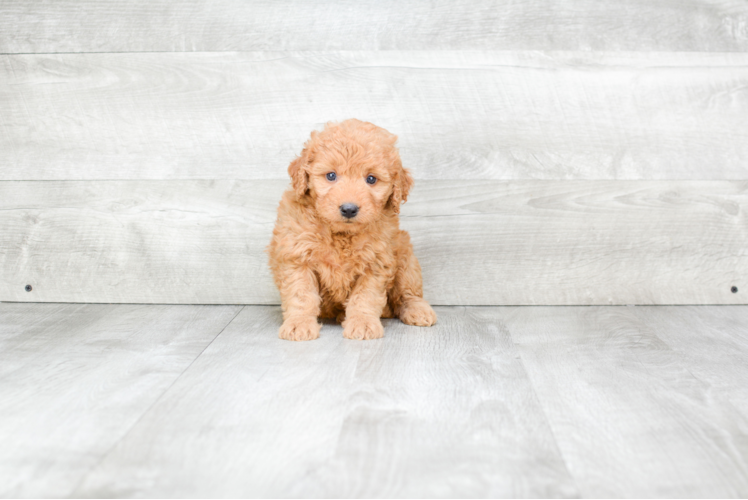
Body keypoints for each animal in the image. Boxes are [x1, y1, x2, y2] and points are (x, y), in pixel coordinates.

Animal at [268, 119, 436, 342]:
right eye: (331, 176)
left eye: (371, 179)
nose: (349, 209)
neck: (340, 234)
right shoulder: (297, 256)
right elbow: (301, 294)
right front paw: (299, 324)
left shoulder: (376, 261)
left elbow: (365, 297)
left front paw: (362, 323)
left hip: (405, 256)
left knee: (407, 293)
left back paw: (418, 310)